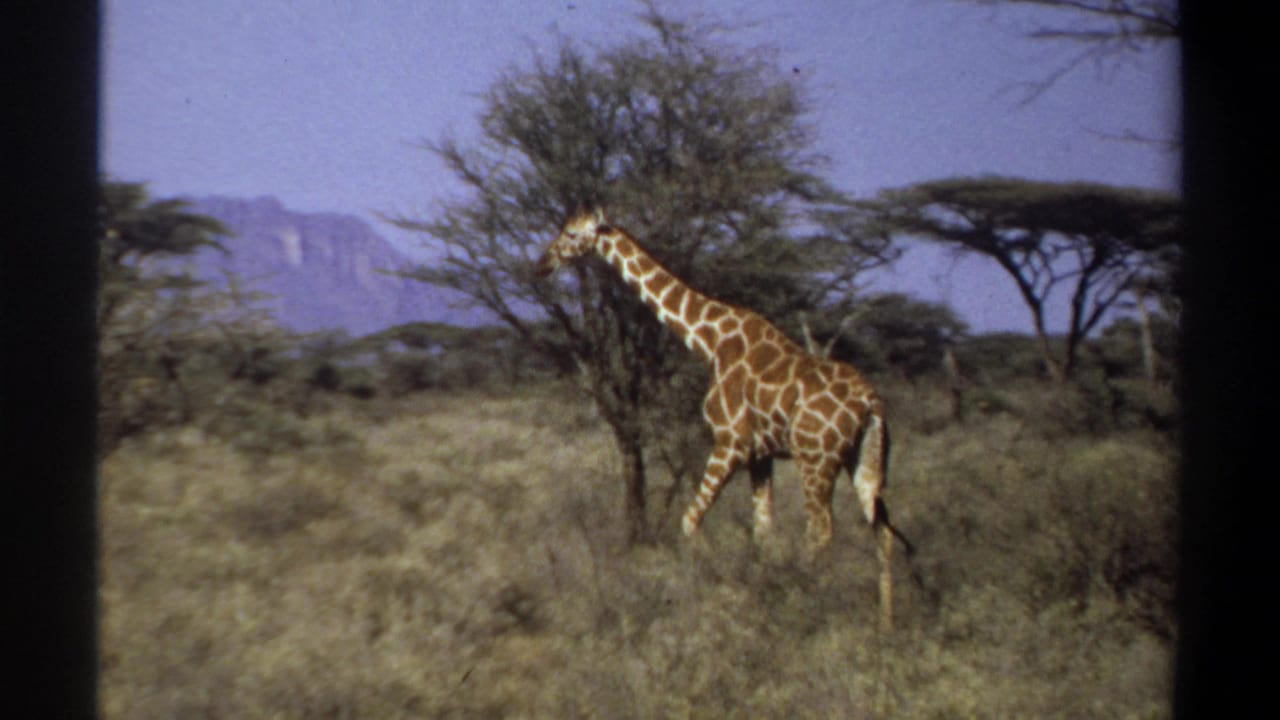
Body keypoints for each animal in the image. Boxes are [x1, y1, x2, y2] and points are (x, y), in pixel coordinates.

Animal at [537, 207, 909, 630]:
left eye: (571, 233)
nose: (542, 264)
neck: (709, 340)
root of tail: (871, 403)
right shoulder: (761, 455)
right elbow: (762, 531)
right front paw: (756, 594)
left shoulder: (730, 442)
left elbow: (689, 520)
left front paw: (718, 595)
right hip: (864, 459)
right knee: (882, 529)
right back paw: (885, 623)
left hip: (815, 459)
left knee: (821, 530)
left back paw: (806, 605)